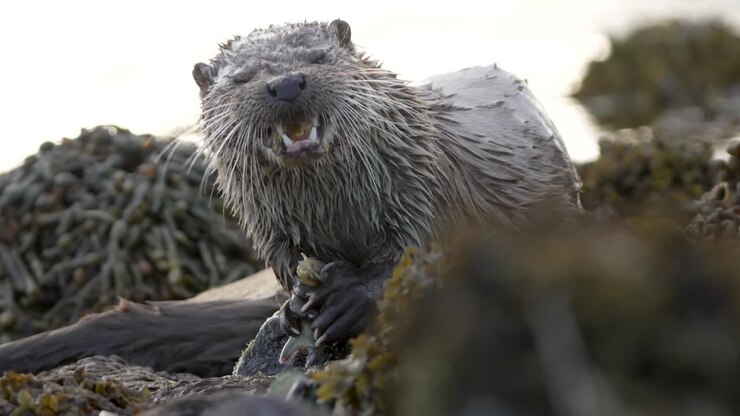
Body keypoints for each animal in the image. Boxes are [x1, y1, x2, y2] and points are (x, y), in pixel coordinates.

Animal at [192, 19, 581, 357]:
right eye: (241, 78)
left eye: (318, 57)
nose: (286, 84)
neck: (334, 212)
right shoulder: (269, 227)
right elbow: (286, 264)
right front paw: (292, 307)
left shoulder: (422, 184)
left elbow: (417, 249)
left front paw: (350, 298)